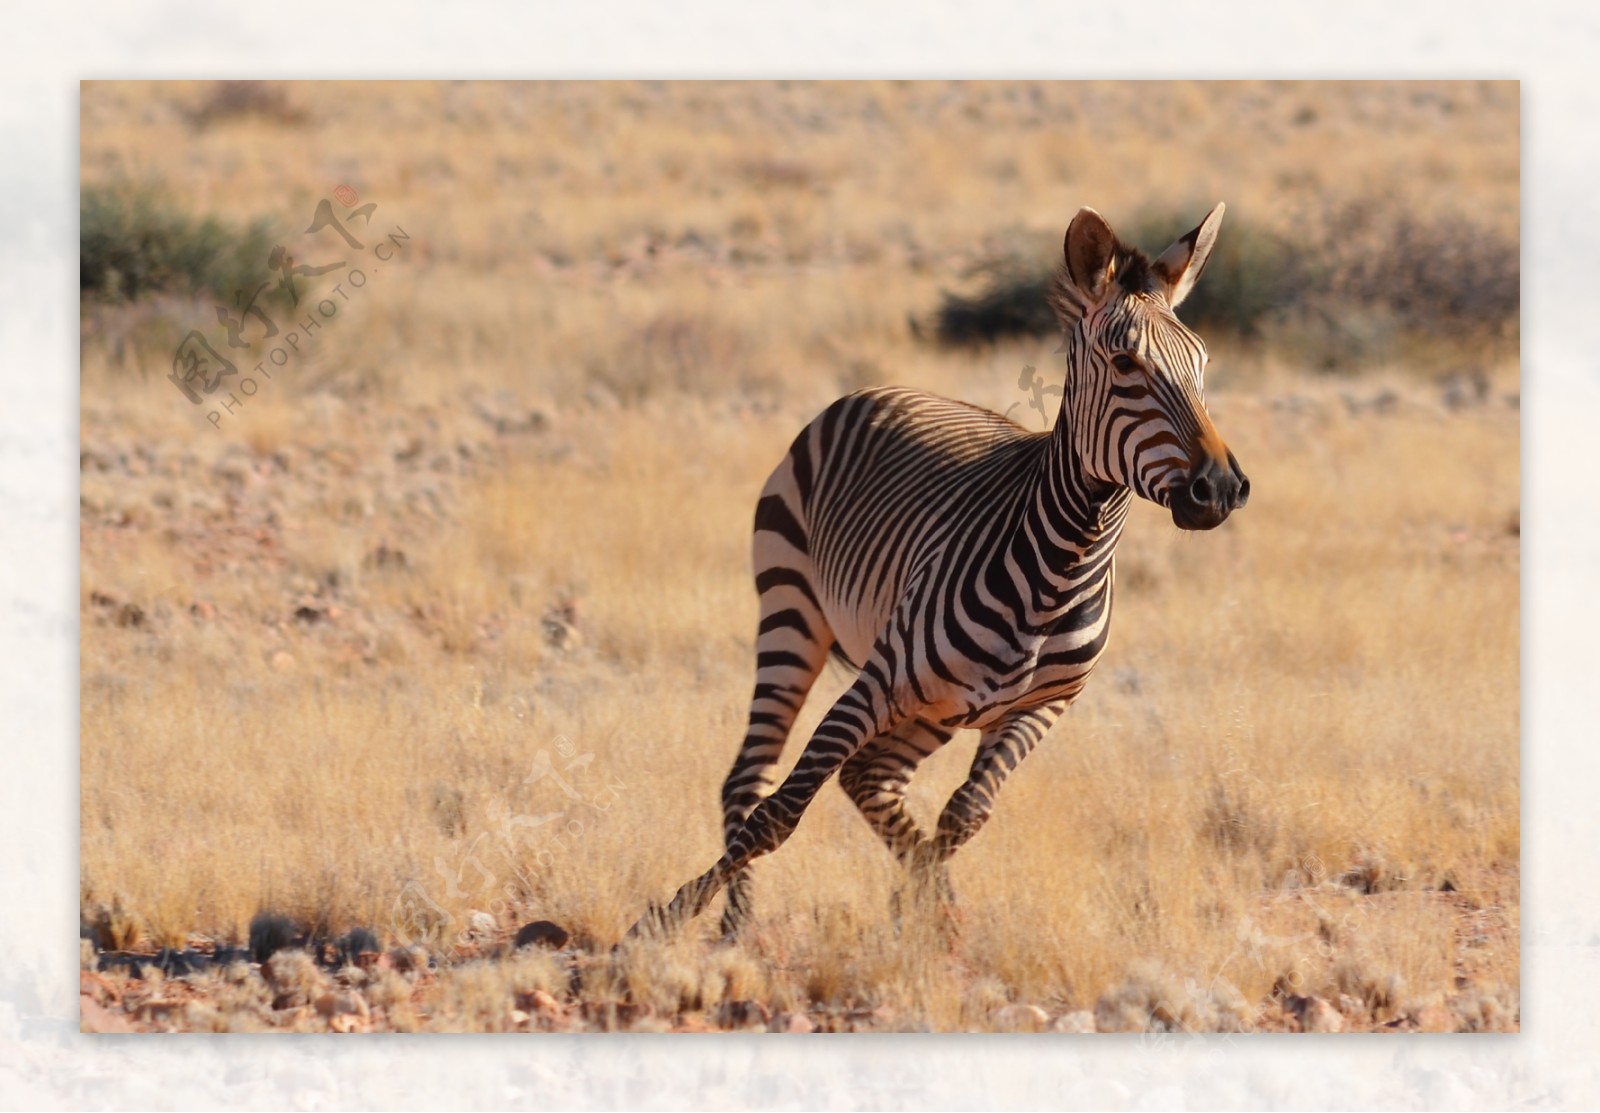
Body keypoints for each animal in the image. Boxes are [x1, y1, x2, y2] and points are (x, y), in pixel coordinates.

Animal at [624, 204, 1248, 940]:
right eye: (1126, 363)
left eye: (1202, 364)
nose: (1222, 487)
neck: (1064, 563)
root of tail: (882, 388)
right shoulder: (879, 681)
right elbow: (779, 813)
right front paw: (658, 922)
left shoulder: (1042, 708)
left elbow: (965, 813)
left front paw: (925, 912)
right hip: (790, 614)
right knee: (750, 780)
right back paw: (736, 924)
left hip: (933, 708)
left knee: (869, 779)